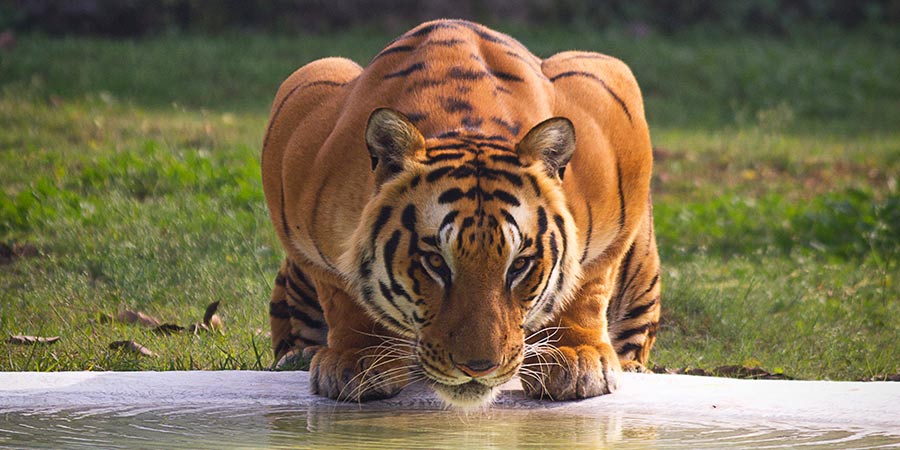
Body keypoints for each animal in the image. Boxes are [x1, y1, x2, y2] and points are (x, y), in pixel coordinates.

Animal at [262, 19, 660, 408]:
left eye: (519, 265)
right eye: (435, 262)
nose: (479, 368)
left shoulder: (612, 101)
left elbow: (589, 282)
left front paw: (575, 357)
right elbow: (341, 291)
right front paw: (357, 359)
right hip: (321, 70)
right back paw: (299, 356)